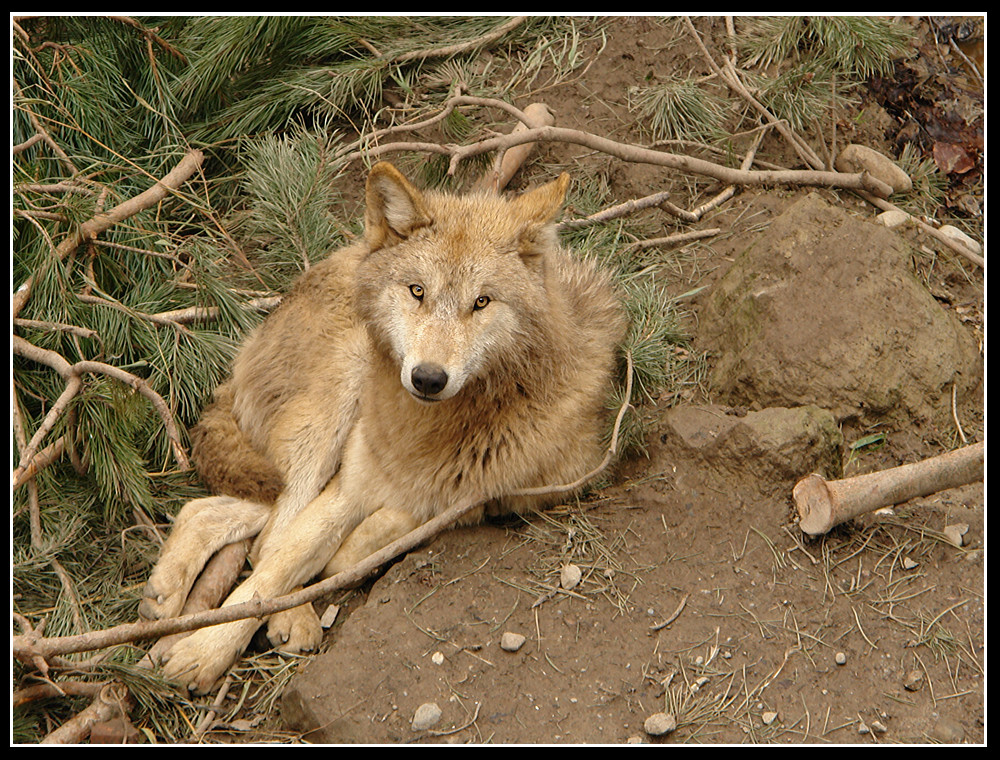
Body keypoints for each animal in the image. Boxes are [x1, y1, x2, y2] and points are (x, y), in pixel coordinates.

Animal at [141, 162, 624, 696]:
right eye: (418, 291)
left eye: (481, 302)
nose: (428, 378)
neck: (432, 429)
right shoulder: (353, 485)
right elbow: (272, 573)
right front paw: (203, 652)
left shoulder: (532, 486)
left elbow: (409, 514)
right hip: (338, 394)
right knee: (267, 536)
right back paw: (280, 614)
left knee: (212, 512)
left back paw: (167, 594)